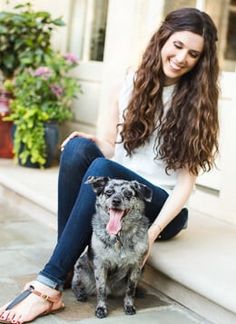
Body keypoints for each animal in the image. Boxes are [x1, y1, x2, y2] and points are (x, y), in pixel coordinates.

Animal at [72, 176, 153, 318]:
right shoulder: (100, 265)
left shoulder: (136, 266)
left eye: (128, 194)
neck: (118, 236)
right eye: (109, 192)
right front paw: (101, 308)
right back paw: (80, 293)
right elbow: (101, 289)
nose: (116, 201)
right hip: (80, 265)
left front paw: (129, 306)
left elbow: (130, 289)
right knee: (75, 284)